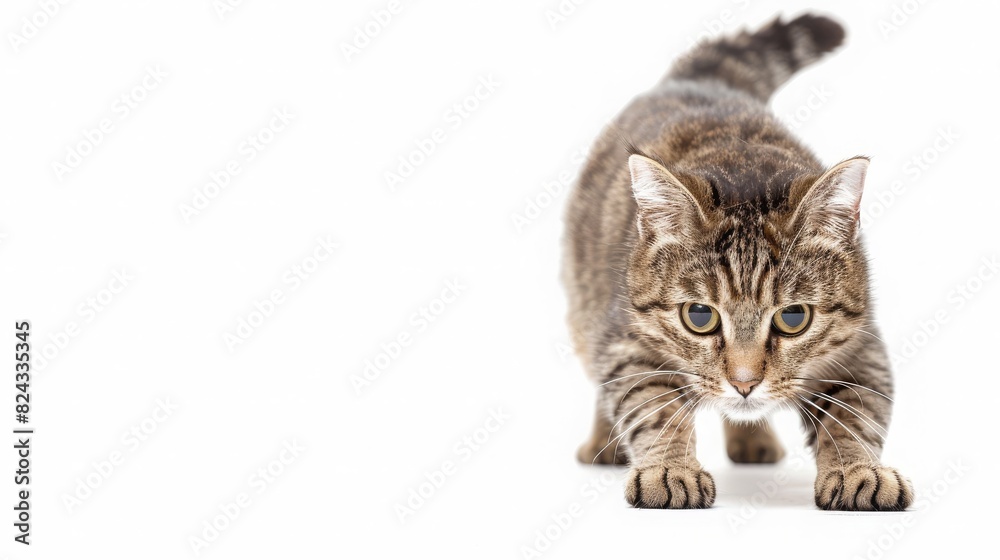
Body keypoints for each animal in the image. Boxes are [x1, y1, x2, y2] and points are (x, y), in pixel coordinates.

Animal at [564, 14, 916, 512]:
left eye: (793, 317)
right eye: (698, 316)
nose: (744, 384)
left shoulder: (861, 347)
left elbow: (855, 415)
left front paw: (858, 470)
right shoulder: (627, 340)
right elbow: (653, 404)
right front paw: (670, 469)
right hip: (586, 303)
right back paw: (604, 443)